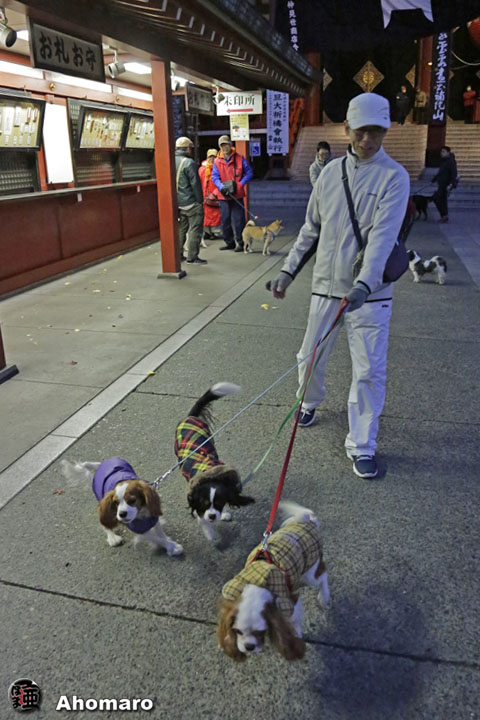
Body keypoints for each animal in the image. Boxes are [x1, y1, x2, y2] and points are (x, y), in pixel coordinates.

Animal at [175, 383, 255, 541]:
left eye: (219, 503)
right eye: (203, 504)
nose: (212, 515)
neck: (209, 472)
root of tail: (190, 417)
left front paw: (224, 513)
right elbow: (203, 522)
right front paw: (213, 536)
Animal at [217, 501, 329, 661]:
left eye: (261, 632)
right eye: (237, 631)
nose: (249, 647)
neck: (257, 583)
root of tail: (310, 521)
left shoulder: (289, 602)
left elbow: (294, 622)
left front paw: (296, 637)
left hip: (310, 574)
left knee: (323, 573)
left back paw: (324, 597)